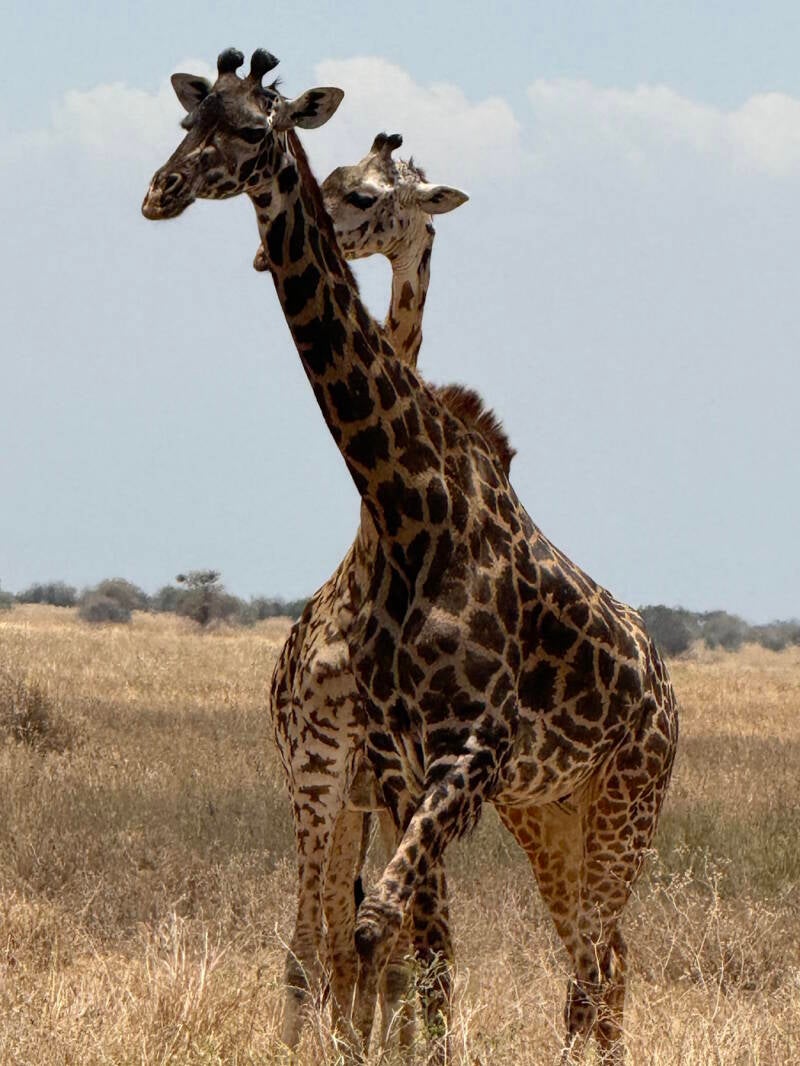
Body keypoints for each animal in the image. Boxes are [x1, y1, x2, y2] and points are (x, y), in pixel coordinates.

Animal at [142, 49, 679, 1064]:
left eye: (255, 129)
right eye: (192, 122)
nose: (161, 191)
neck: (403, 511)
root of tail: (665, 689)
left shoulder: (462, 754)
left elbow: (385, 943)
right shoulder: (383, 763)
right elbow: (382, 950)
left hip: (627, 798)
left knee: (597, 962)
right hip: (546, 810)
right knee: (595, 957)